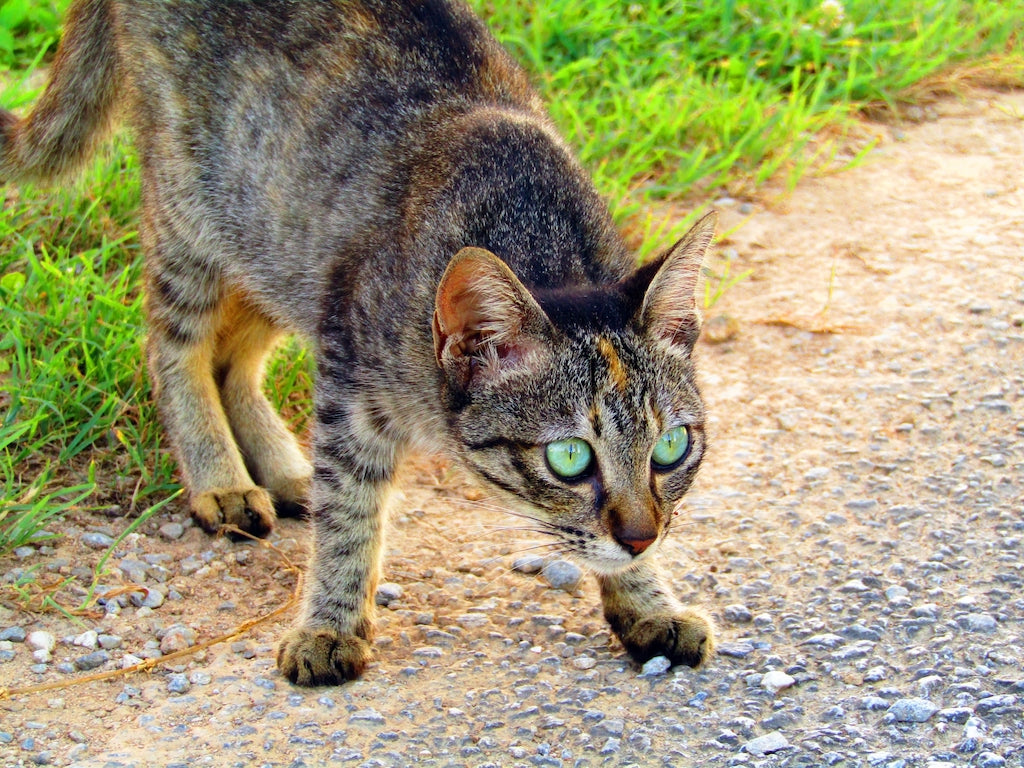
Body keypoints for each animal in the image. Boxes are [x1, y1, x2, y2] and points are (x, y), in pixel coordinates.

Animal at [2, 0, 720, 684]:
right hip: (196, 213)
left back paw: (282, 468)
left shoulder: (331, 316)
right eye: (570, 458)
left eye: (671, 449)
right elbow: (349, 519)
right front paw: (331, 626)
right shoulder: (351, 393)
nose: (640, 537)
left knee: (234, 360)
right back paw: (220, 477)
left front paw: (647, 600)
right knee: (174, 346)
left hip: (283, 248)